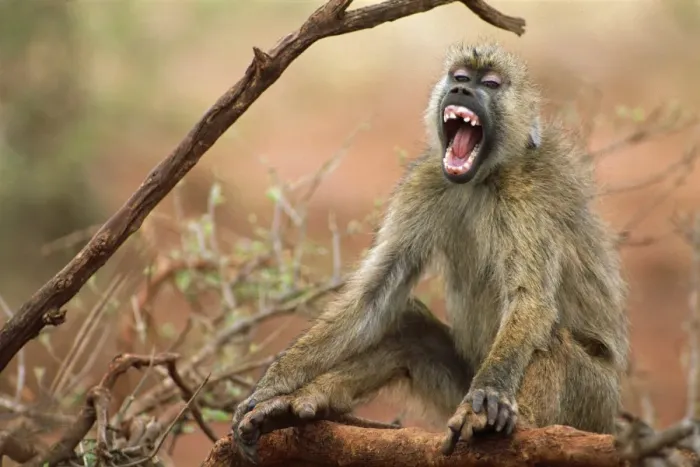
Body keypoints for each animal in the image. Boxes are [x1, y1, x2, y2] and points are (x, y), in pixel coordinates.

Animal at [230, 40, 629, 462]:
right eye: (460, 76)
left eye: (490, 83)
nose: (462, 90)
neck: (482, 179)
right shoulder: (424, 183)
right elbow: (372, 294)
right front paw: (271, 388)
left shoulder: (526, 197)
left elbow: (530, 301)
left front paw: (487, 398)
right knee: (410, 330)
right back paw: (304, 402)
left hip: (593, 401)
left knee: (551, 339)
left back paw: (512, 425)